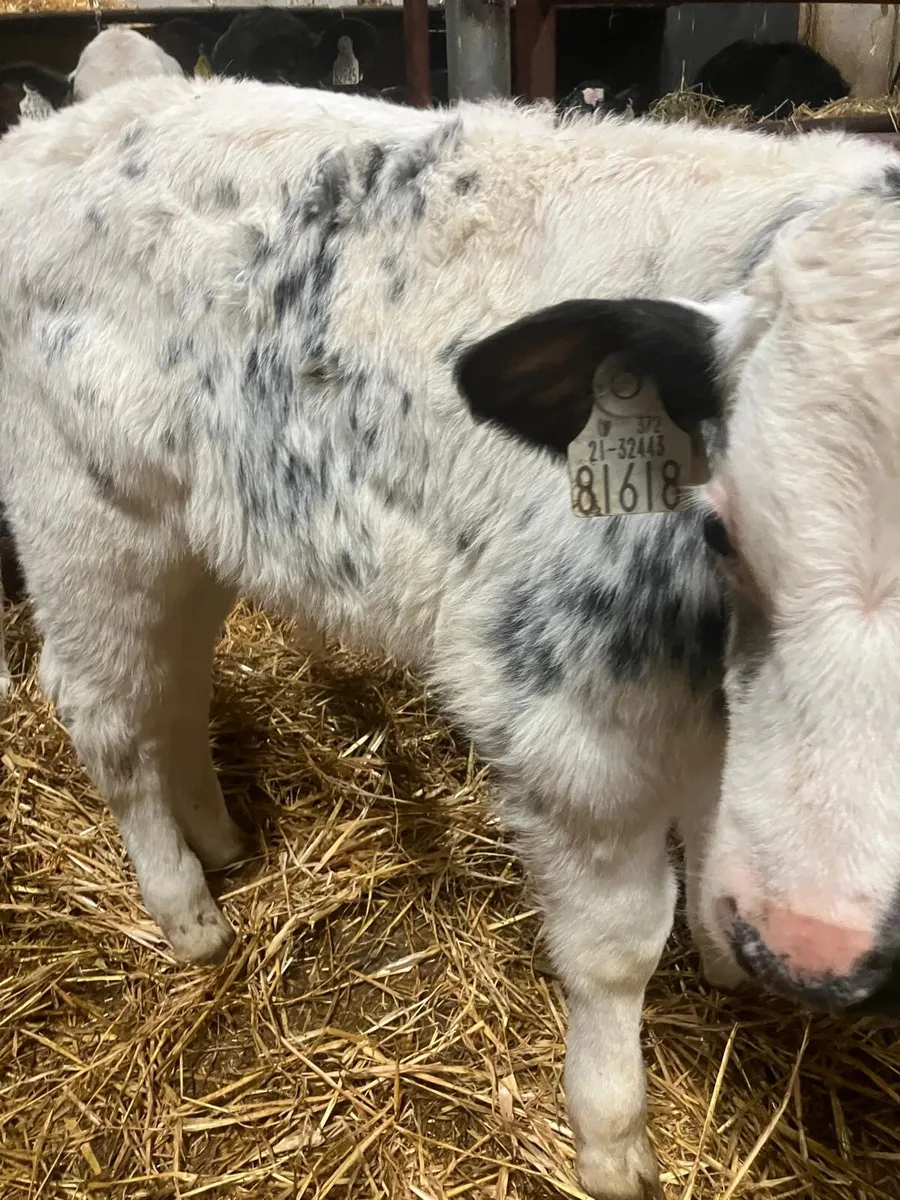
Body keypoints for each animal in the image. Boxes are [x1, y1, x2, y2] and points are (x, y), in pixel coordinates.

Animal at [1, 78, 899, 1199]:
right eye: (723, 528)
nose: (813, 946)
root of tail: (69, 118)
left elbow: (708, 838)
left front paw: (728, 960)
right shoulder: (573, 723)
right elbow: (618, 950)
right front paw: (613, 1142)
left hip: (193, 538)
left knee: (176, 686)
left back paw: (219, 837)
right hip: (83, 518)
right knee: (105, 712)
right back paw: (187, 910)